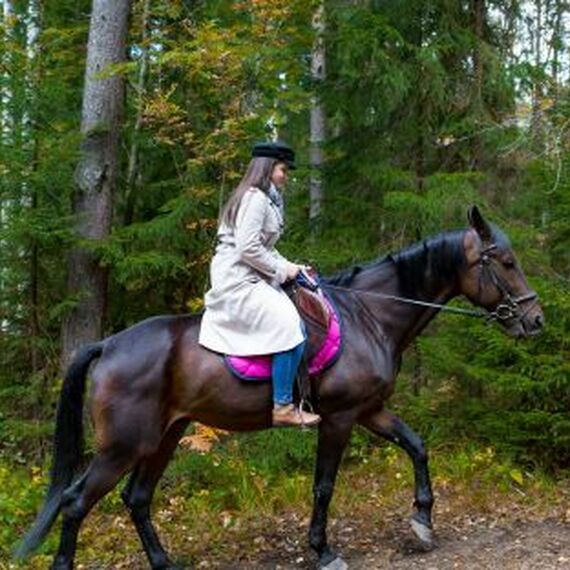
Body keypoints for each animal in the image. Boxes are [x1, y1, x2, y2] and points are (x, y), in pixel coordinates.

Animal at [16, 205, 540, 568]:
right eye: (505, 262)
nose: (535, 320)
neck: (370, 314)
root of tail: (107, 344)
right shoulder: (340, 417)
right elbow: (324, 485)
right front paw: (323, 550)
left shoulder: (370, 410)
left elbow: (416, 446)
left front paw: (423, 522)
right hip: (124, 445)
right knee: (75, 502)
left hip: (165, 436)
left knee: (137, 499)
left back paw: (164, 563)